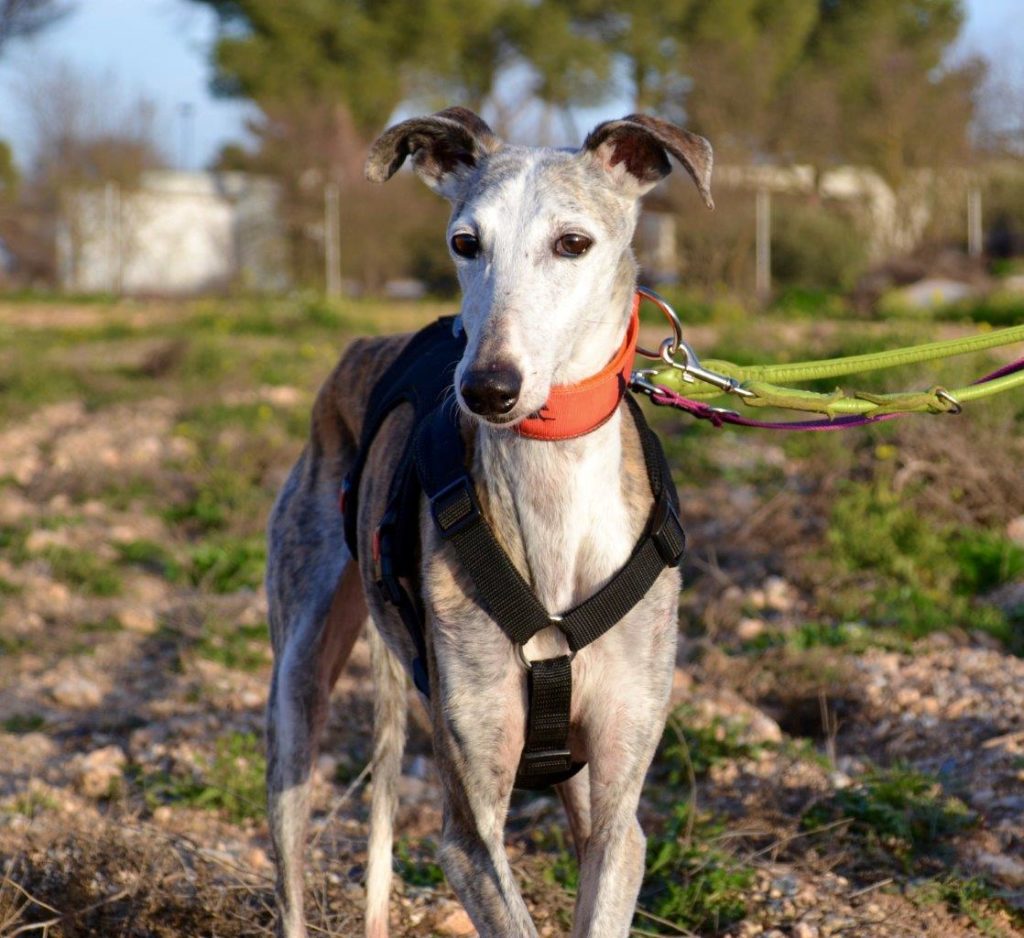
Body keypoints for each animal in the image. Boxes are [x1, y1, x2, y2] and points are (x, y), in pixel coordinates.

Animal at [264, 106, 712, 933]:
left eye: (573, 243)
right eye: (465, 243)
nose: (488, 388)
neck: (554, 498)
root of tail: (364, 344)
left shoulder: (618, 816)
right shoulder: (468, 833)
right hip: (296, 692)